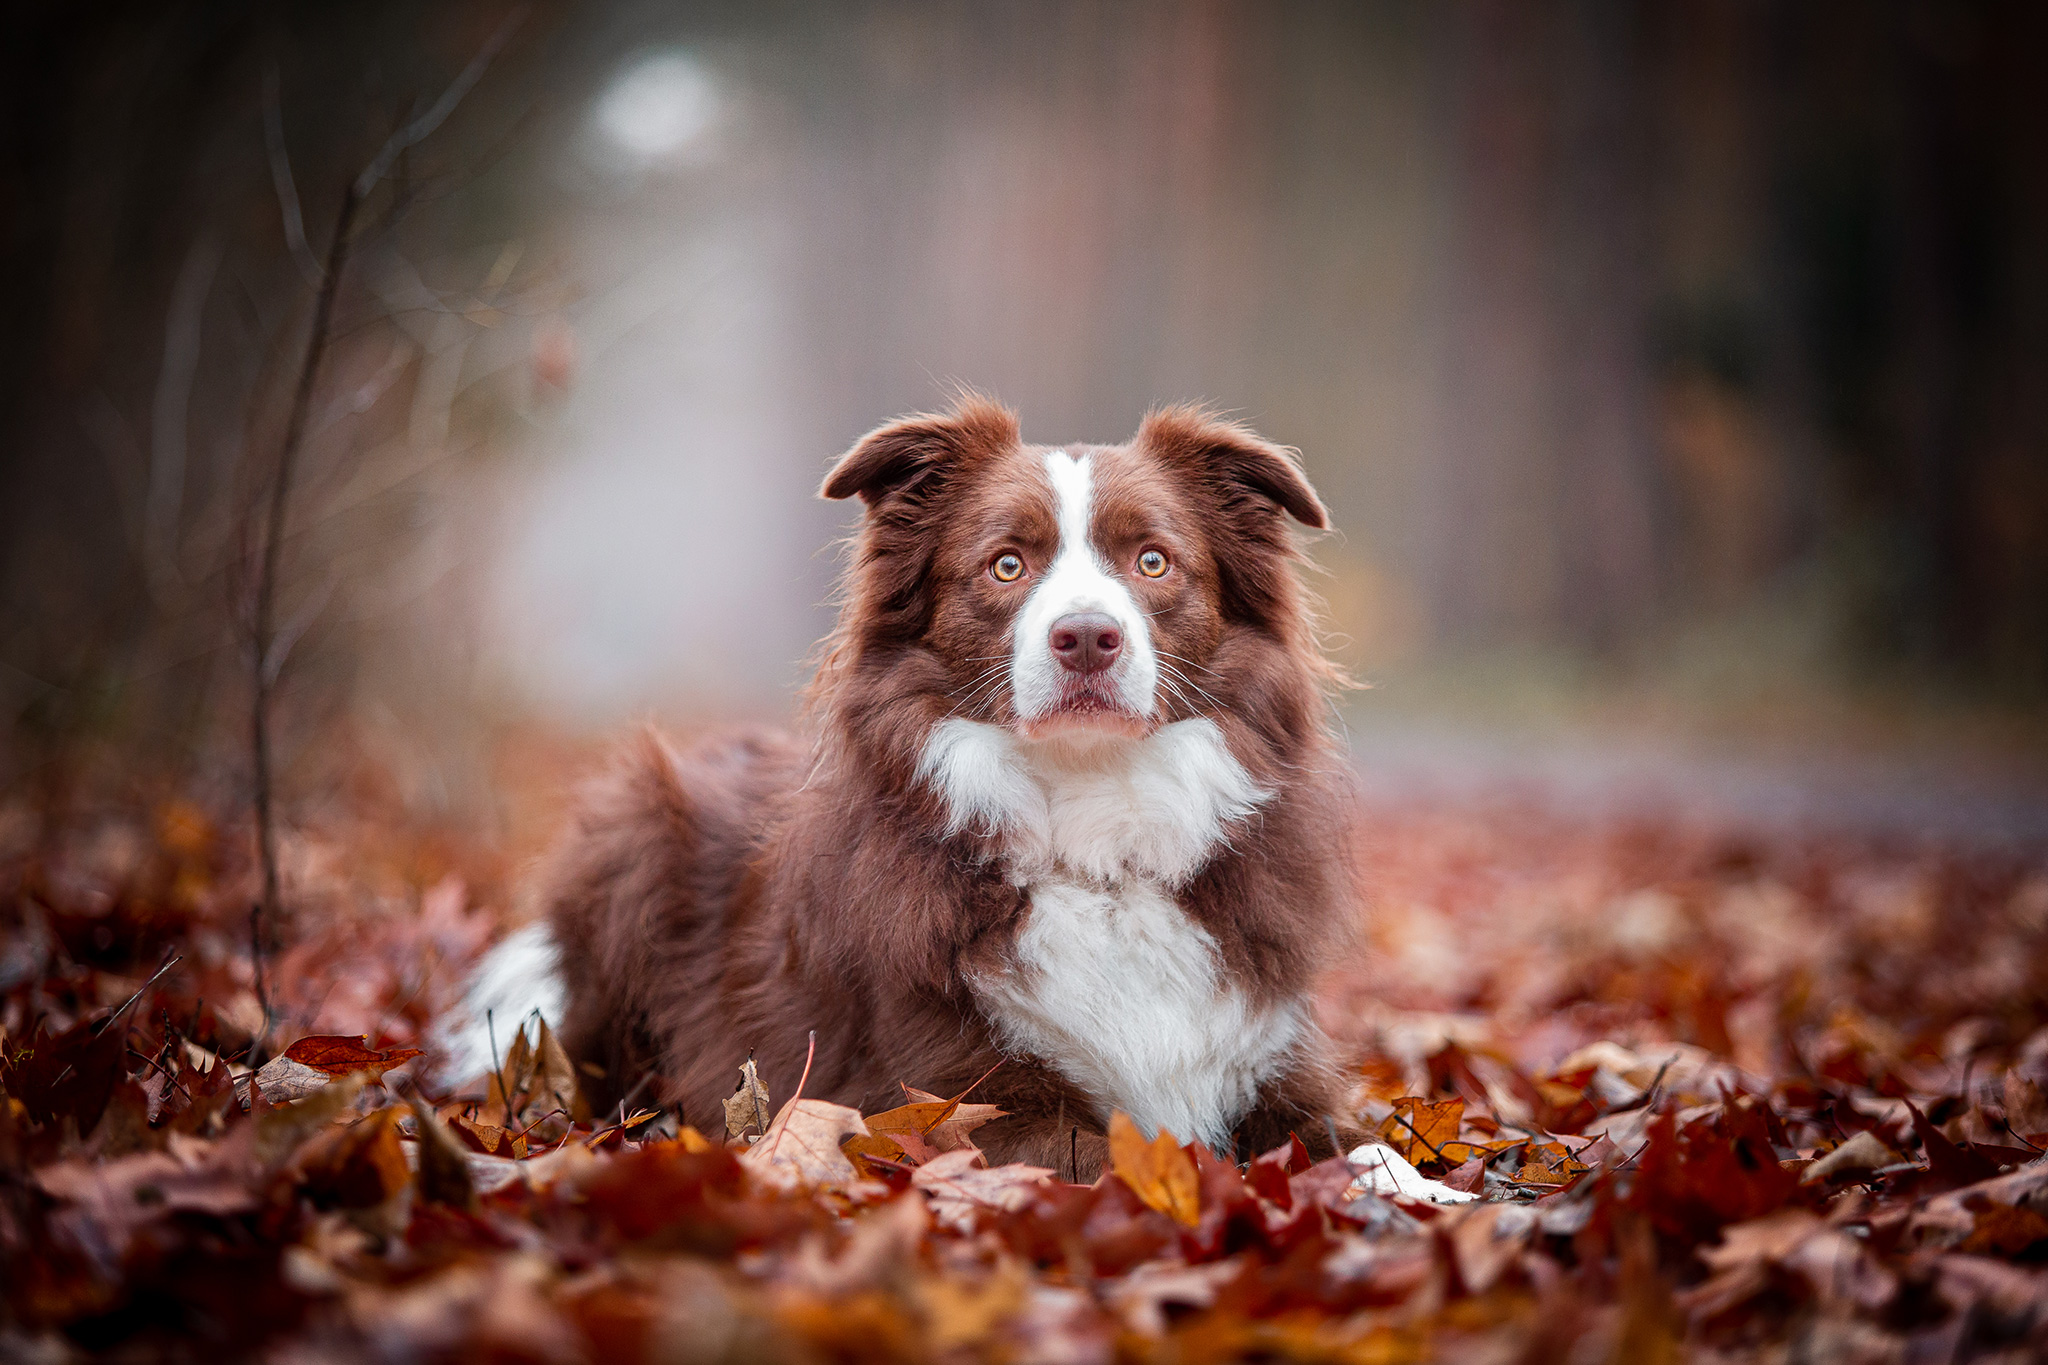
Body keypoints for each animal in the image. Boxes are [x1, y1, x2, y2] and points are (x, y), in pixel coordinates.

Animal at [434, 401, 1359, 1178]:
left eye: (1154, 561)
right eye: (1007, 564)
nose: (1088, 637)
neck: (1094, 839)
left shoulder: (1274, 1063)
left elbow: (1357, 1150)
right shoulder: (954, 1098)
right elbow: (1127, 1160)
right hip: (631, 829)